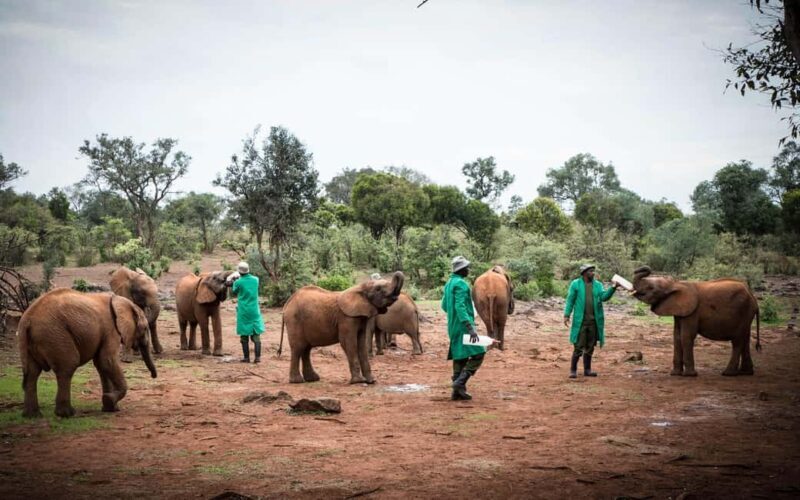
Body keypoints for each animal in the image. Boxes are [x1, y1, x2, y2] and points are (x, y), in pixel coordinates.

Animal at [18, 288, 157, 418]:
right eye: (145, 328)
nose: (153, 376)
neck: (123, 302)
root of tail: (27, 319)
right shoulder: (111, 329)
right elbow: (107, 361)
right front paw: (109, 400)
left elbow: (101, 365)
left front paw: (110, 408)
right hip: (54, 334)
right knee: (67, 367)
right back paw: (67, 414)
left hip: (32, 339)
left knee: (32, 373)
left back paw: (32, 415)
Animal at [632, 266, 761, 377]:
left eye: (651, 288)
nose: (643, 268)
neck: (676, 283)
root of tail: (753, 297)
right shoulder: (679, 311)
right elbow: (676, 336)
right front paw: (675, 374)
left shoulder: (693, 312)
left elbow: (686, 336)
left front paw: (689, 375)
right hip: (746, 315)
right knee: (745, 339)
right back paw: (746, 372)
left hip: (744, 312)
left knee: (737, 341)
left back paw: (728, 373)